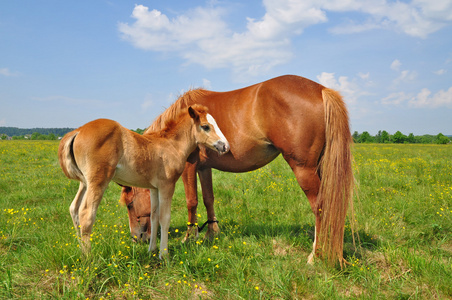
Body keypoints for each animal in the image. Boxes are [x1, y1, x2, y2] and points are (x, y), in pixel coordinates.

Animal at [58, 104, 230, 256]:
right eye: (205, 126)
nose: (225, 146)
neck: (171, 145)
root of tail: (78, 131)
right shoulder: (167, 185)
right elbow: (165, 218)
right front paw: (164, 255)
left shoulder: (154, 188)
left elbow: (154, 217)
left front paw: (151, 250)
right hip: (98, 181)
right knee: (86, 213)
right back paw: (89, 259)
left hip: (84, 182)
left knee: (74, 209)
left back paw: (81, 250)